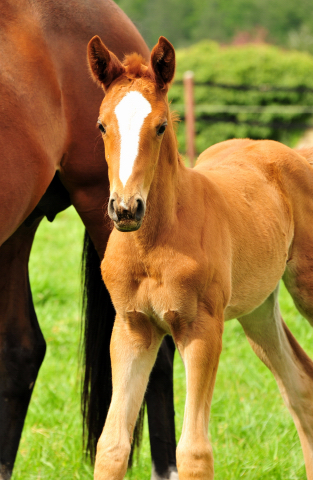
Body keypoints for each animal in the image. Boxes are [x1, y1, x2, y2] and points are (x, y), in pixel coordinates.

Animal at [86, 35, 312, 478]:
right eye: (102, 124)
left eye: (160, 126)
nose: (126, 208)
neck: (153, 245)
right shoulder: (132, 329)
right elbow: (112, 445)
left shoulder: (201, 329)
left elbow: (193, 452)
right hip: (257, 309)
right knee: (300, 386)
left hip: (306, 287)